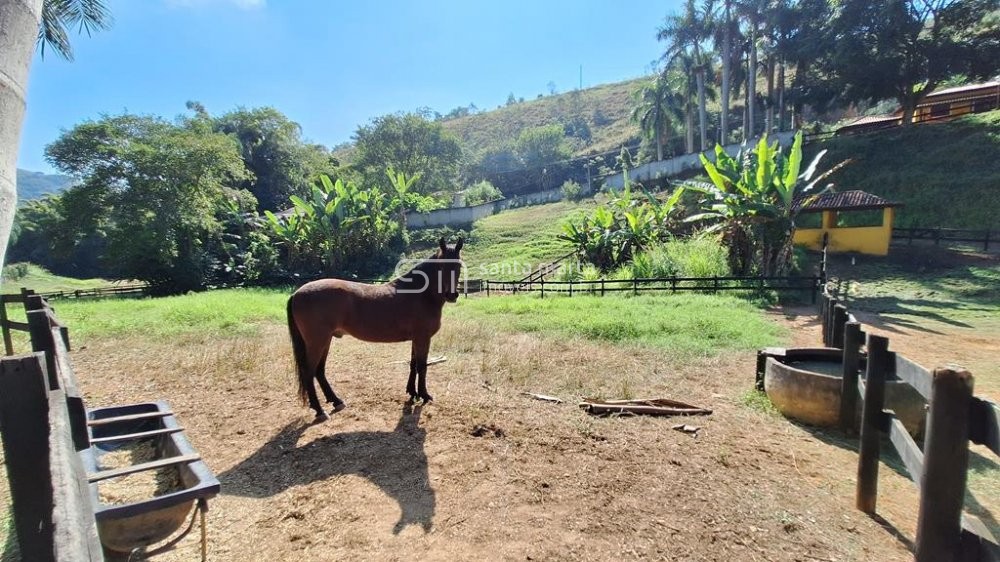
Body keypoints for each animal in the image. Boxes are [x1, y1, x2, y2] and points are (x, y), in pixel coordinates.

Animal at [288, 237, 462, 420]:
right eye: (441, 266)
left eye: (459, 266)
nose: (452, 295)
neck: (420, 294)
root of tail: (296, 293)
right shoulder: (423, 338)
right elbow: (422, 366)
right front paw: (424, 395)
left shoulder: (416, 339)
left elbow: (413, 364)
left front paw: (412, 393)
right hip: (317, 341)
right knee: (309, 372)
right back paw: (320, 410)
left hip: (325, 340)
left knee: (319, 371)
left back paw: (336, 401)